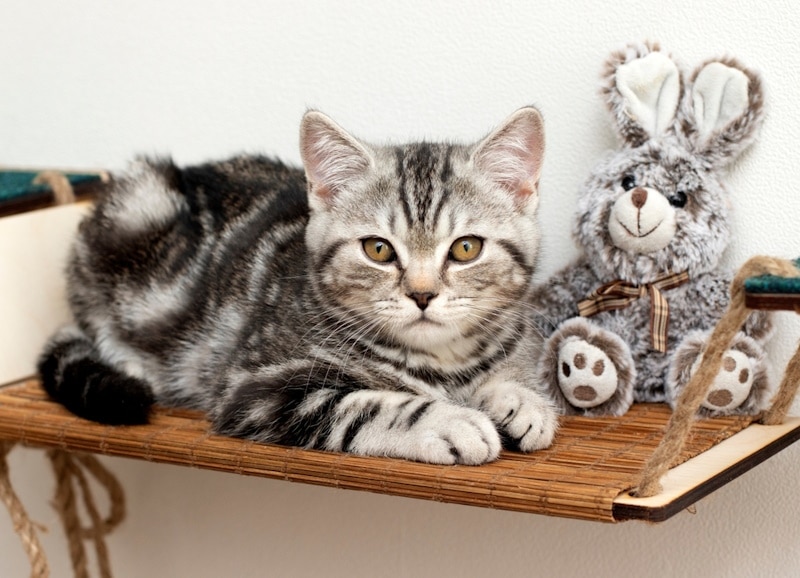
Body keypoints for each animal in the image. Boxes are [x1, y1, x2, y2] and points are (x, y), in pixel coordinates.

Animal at [36, 108, 556, 466]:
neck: (445, 366)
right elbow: (369, 405)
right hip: (137, 207)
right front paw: (452, 420)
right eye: (378, 250)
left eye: (466, 248)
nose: (422, 295)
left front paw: (522, 400)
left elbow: (511, 373)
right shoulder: (253, 387)